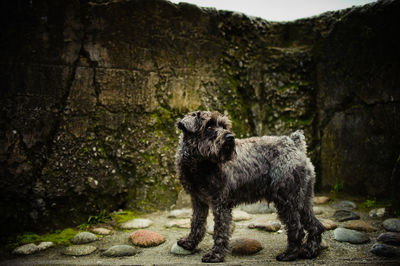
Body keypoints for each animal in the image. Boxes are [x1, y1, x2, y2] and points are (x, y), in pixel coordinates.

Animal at [175, 110, 324, 262]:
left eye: (224, 126)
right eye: (208, 126)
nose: (230, 137)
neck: (200, 165)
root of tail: (294, 143)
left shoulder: (220, 204)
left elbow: (220, 231)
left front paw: (215, 254)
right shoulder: (199, 201)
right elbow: (196, 223)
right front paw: (189, 243)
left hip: (287, 201)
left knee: (297, 229)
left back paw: (289, 254)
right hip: (302, 201)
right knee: (315, 225)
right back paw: (311, 251)